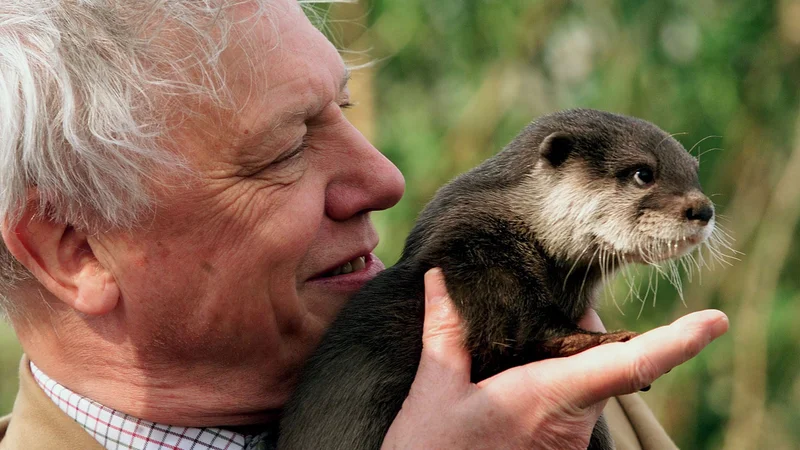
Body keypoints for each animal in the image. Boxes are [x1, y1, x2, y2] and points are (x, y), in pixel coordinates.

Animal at [278, 109, 716, 450]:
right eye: (643, 173)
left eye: (694, 172)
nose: (704, 209)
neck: (516, 223)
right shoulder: (478, 256)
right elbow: (523, 334)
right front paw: (608, 339)